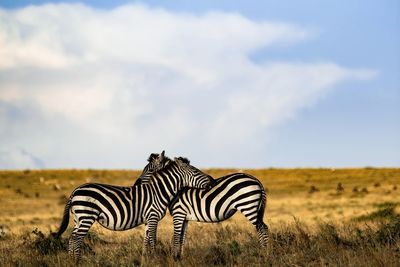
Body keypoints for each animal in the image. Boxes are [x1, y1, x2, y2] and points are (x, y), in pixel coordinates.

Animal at [54, 153, 214, 262]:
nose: (212, 180)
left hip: (78, 217)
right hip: (86, 215)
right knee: (76, 238)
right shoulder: (153, 217)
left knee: (71, 238)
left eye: (149, 170)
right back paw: (77, 261)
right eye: (195, 171)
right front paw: (154, 259)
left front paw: (146, 259)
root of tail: (75, 191)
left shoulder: (148, 219)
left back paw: (71, 261)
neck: (158, 191)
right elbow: (153, 240)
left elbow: (146, 240)